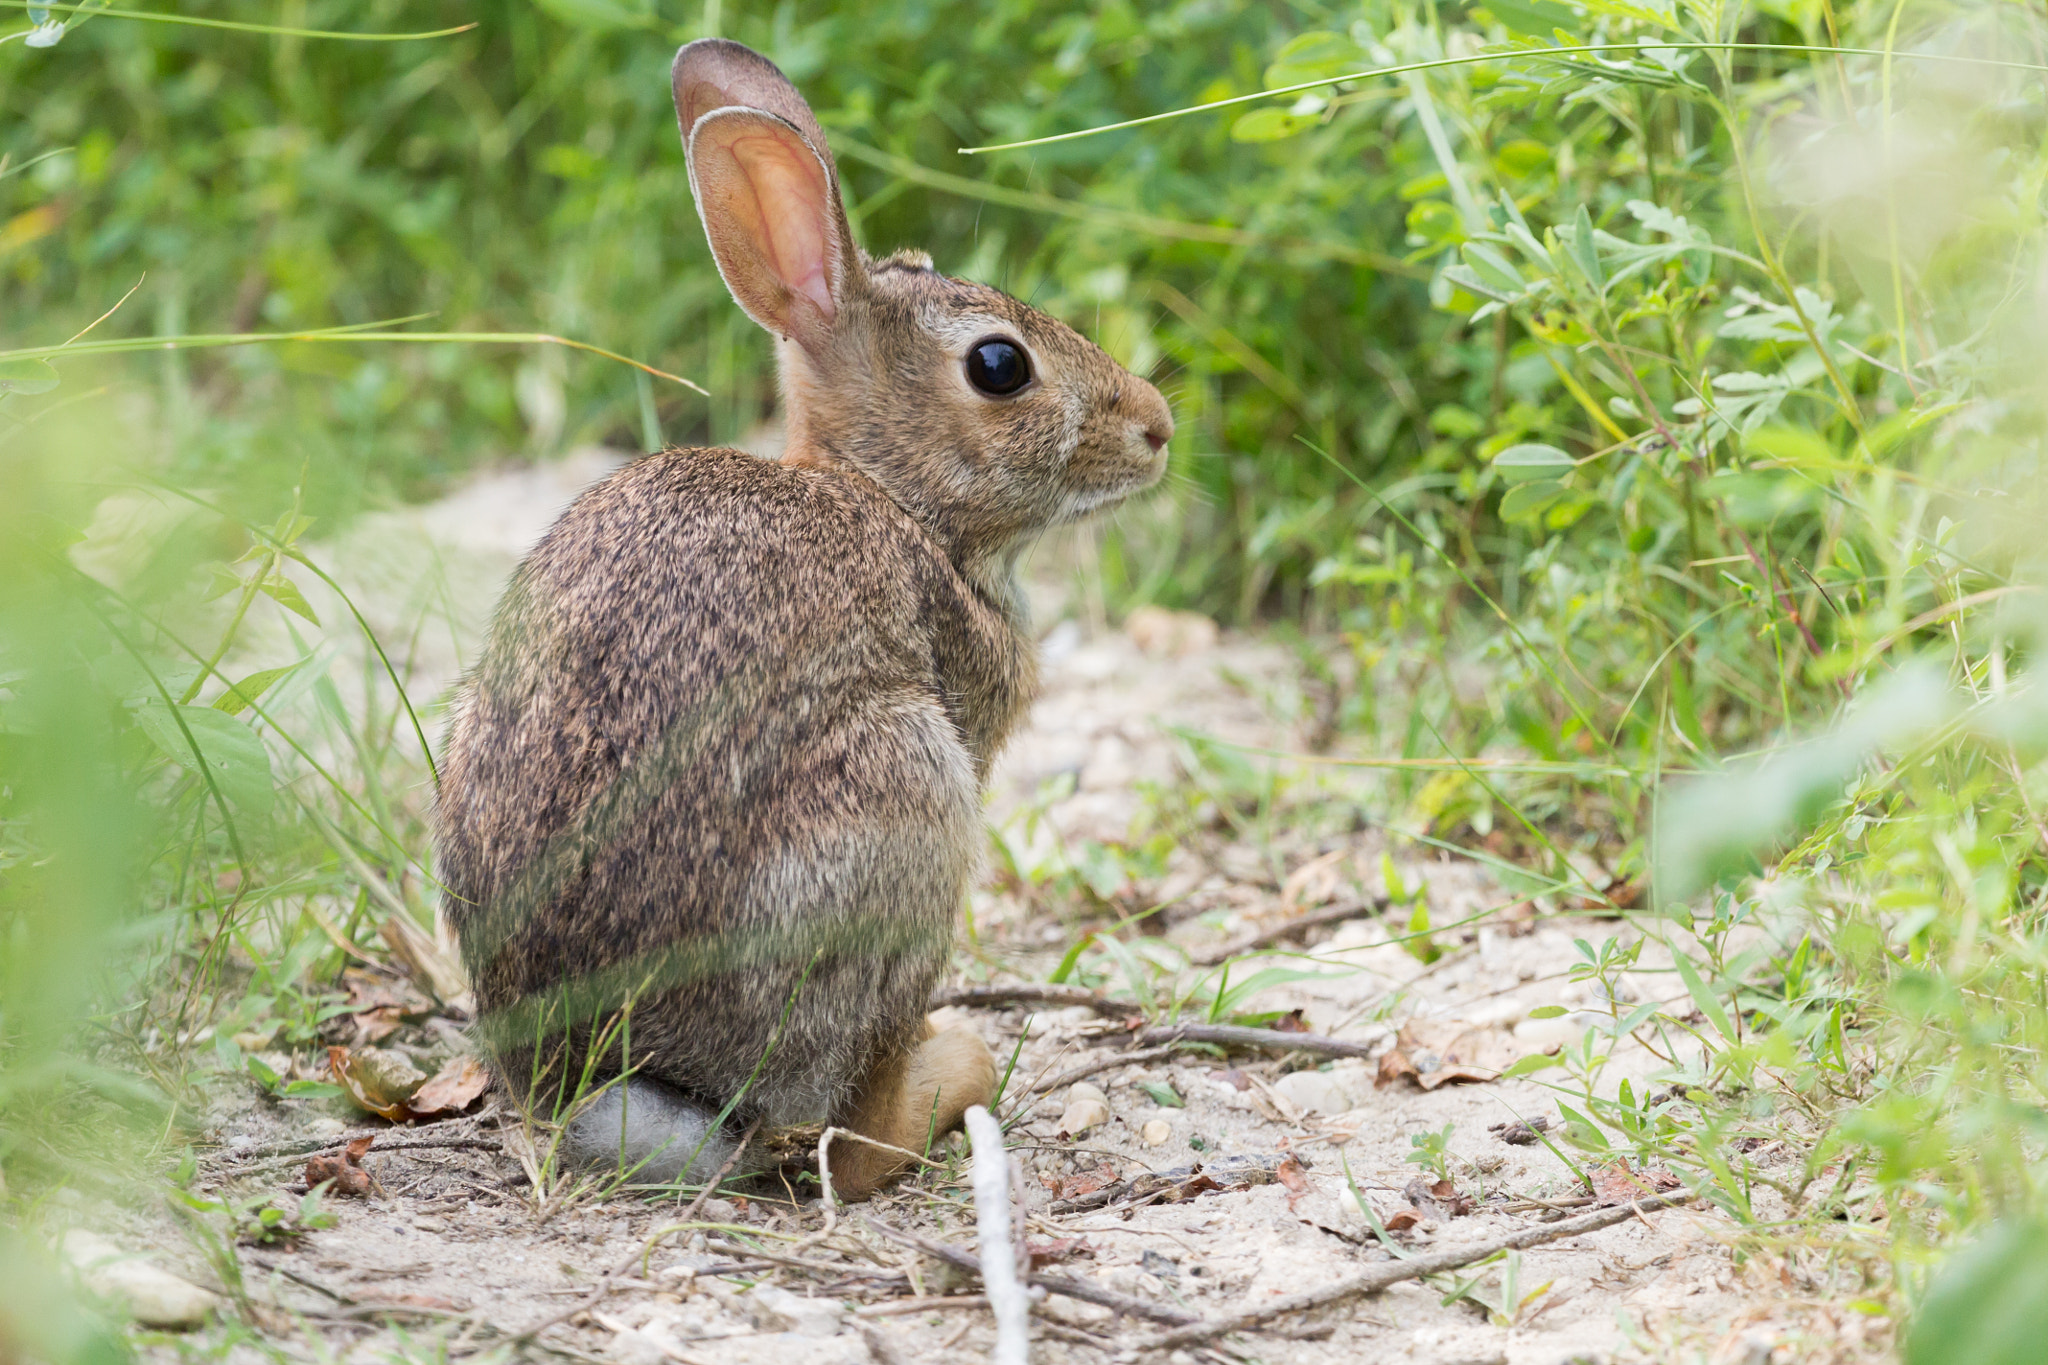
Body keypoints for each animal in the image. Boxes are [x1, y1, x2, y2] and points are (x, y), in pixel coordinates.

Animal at [436, 37, 1171, 1203]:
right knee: (852, 1131)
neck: (891, 496)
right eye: (999, 365)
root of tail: (606, 1081)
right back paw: (949, 1074)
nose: (1157, 425)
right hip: (904, 799)